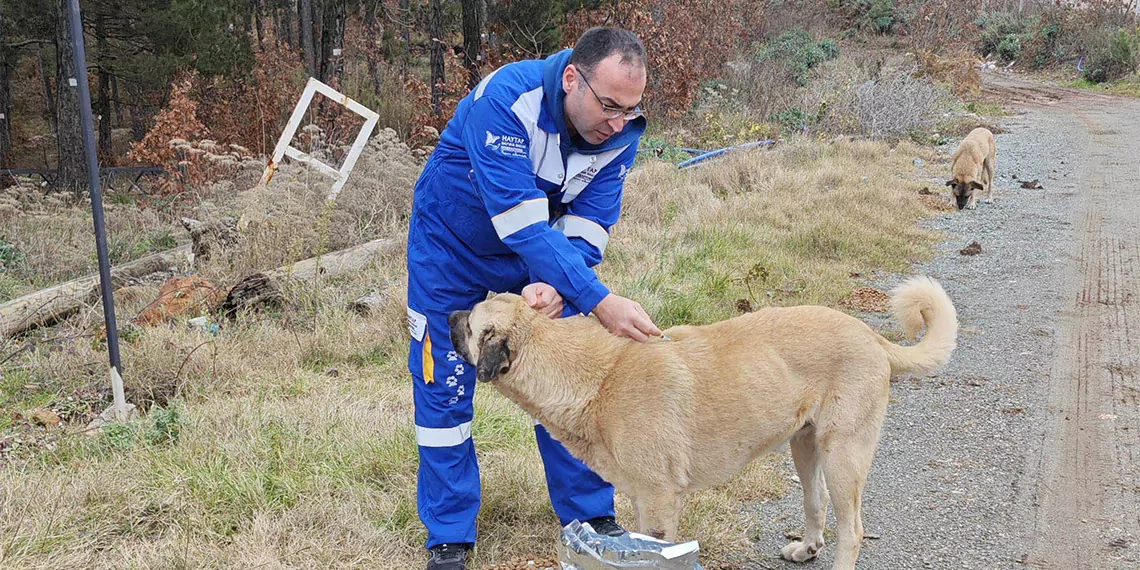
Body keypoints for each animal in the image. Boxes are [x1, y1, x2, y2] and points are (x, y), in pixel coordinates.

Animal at [444, 277, 953, 570]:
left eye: (470, 322)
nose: (446, 311)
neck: (598, 376)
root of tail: (870, 335)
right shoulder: (642, 501)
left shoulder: (658, 502)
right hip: (806, 449)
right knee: (816, 503)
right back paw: (805, 548)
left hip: (843, 456)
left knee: (852, 530)